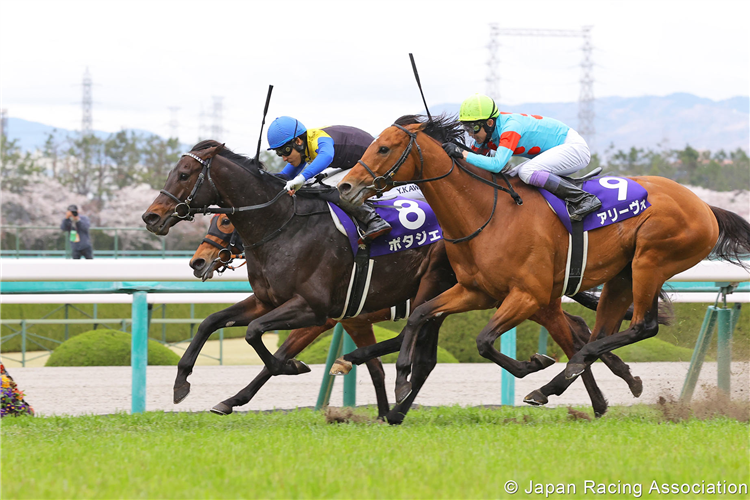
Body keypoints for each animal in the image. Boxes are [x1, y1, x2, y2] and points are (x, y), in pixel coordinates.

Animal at [340, 116, 750, 410]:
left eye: (384, 148)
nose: (346, 187)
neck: (487, 214)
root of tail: (705, 206)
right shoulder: (475, 291)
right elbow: (420, 314)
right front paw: (403, 380)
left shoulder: (527, 295)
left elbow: (484, 341)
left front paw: (533, 363)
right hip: (622, 275)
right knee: (599, 334)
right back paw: (572, 381)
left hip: (651, 261)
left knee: (640, 326)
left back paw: (557, 380)